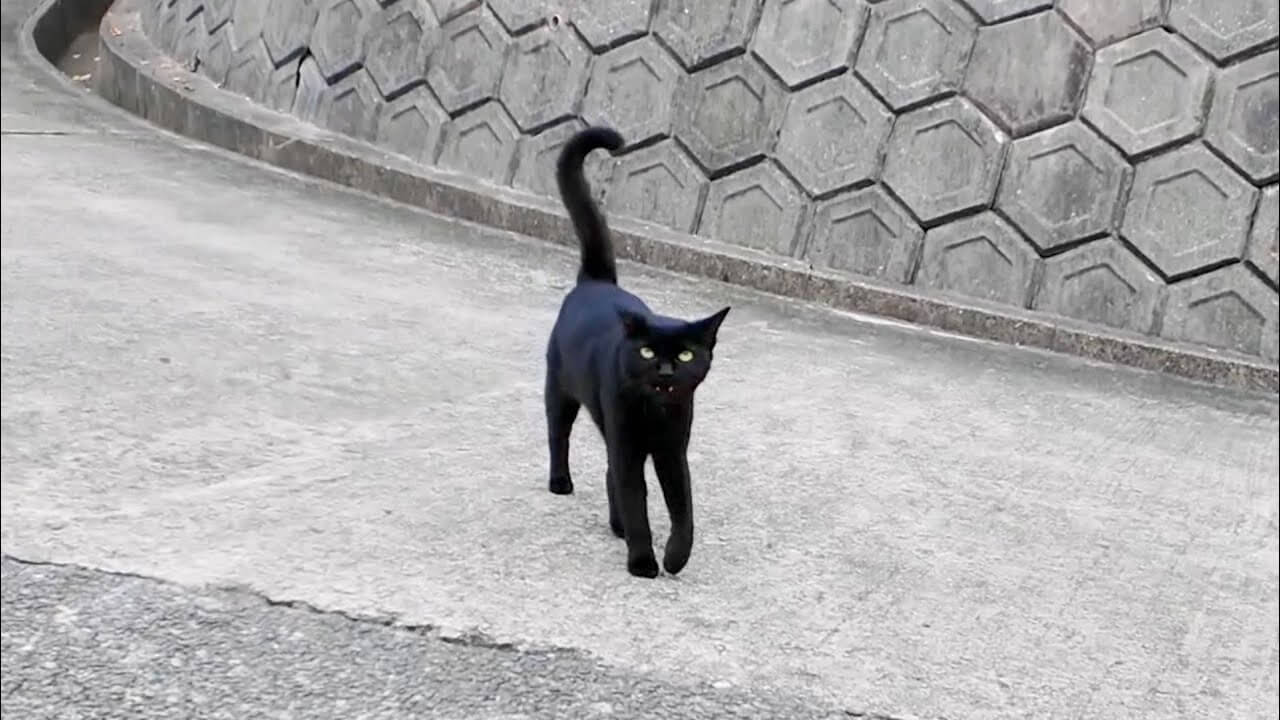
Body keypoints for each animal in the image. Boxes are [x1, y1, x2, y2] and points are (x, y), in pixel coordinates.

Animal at [545, 126, 730, 579]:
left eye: (686, 356)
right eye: (646, 352)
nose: (664, 370)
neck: (655, 415)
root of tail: (596, 282)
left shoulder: (672, 450)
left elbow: (683, 508)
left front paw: (676, 557)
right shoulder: (627, 443)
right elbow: (636, 500)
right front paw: (644, 561)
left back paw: (616, 527)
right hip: (560, 390)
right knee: (559, 435)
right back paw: (560, 483)